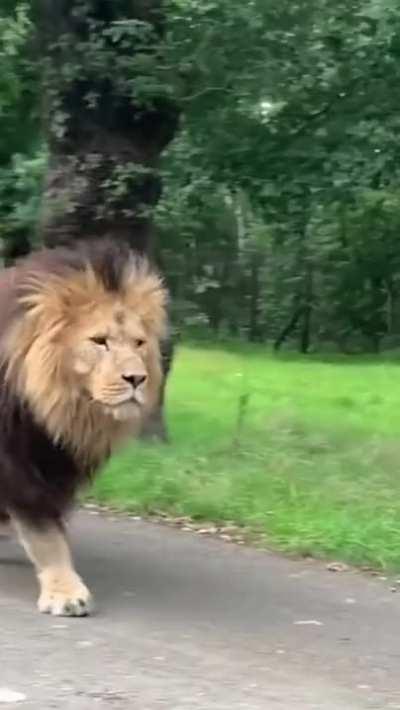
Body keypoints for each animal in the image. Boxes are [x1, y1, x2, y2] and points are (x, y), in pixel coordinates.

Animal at [0, 239, 168, 616]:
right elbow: (46, 535)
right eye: (100, 341)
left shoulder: (56, 465)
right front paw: (66, 593)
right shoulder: (17, 465)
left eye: (138, 343)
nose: (137, 379)